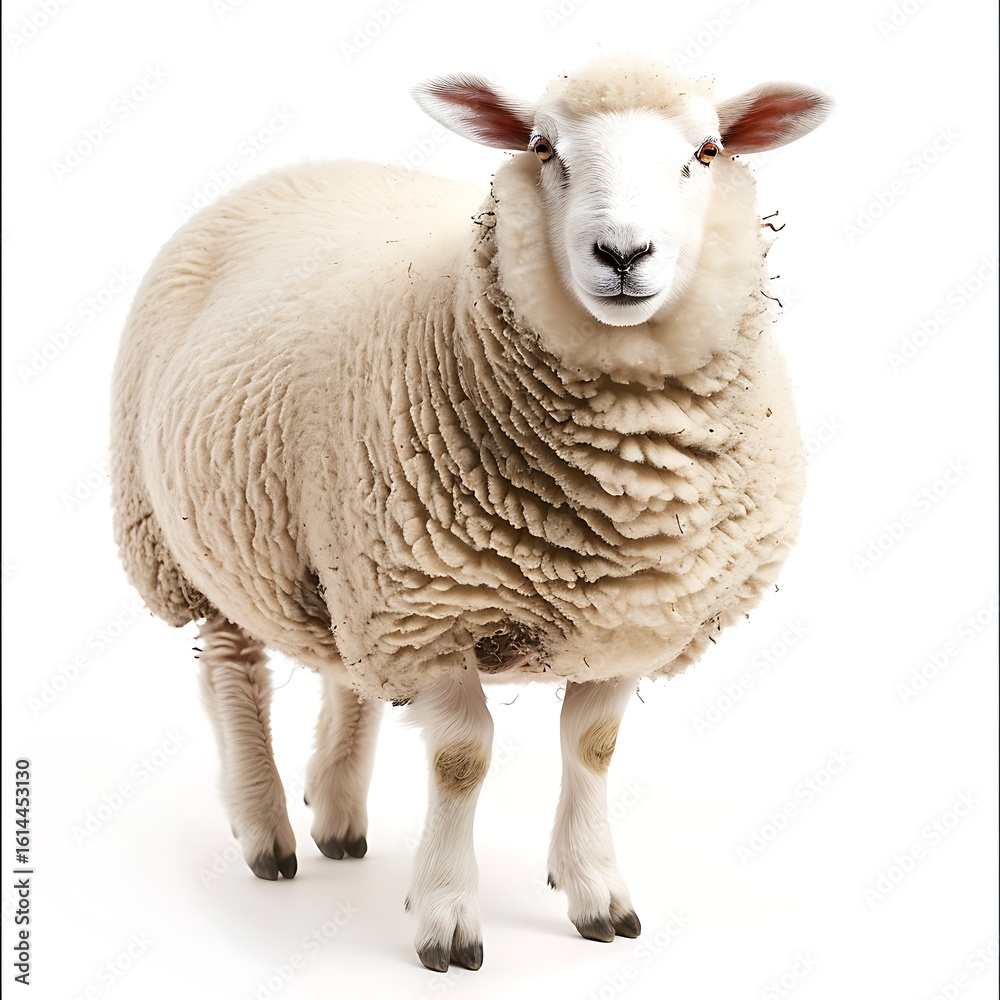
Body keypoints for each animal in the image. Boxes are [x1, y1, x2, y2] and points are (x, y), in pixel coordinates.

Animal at [110, 54, 831, 972]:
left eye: (706, 151)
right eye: (542, 147)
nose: (622, 254)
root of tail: (298, 169)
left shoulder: (632, 612)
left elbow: (593, 747)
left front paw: (595, 891)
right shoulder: (432, 614)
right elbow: (461, 759)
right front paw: (447, 915)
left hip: (347, 562)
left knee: (349, 677)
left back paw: (338, 816)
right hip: (197, 539)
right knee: (233, 674)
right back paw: (266, 829)